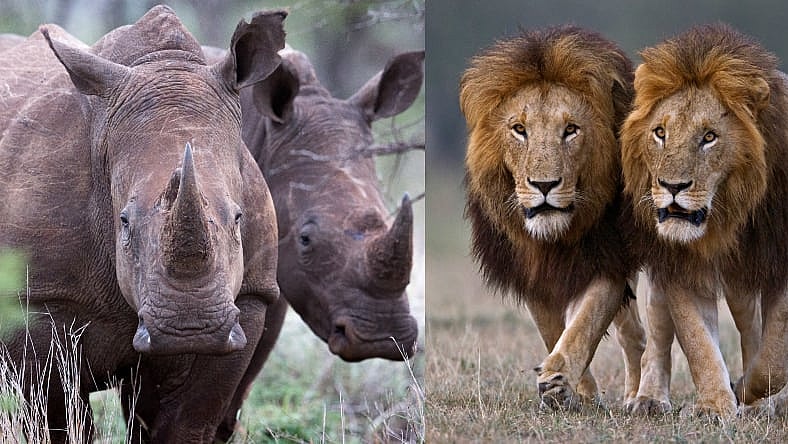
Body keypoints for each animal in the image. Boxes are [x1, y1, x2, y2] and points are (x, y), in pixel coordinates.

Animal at [0, 6, 284, 442]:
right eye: (124, 222)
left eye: (239, 219)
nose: (192, 328)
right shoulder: (36, 297)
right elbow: (56, 417)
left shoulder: (250, 296)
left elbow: (187, 420)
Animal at [460, 26, 646, 410]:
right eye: (519, 129)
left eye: (571, 129)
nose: (544, 185)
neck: (554, 237)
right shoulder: (531, 269)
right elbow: (553, 330)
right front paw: (578, 393)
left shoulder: (608, 259)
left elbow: (584, 324)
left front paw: (560, 380)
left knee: (634, 335)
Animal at [621, 23, 788, 418]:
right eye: (660, 132)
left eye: (709, 137)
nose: (672, 186)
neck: (730, 214)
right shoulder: (681, 264)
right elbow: (698, 341)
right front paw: (715, 405)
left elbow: (774, 358)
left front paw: (746, 390)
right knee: (658, 333)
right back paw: (649, 399)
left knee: (752, 328)